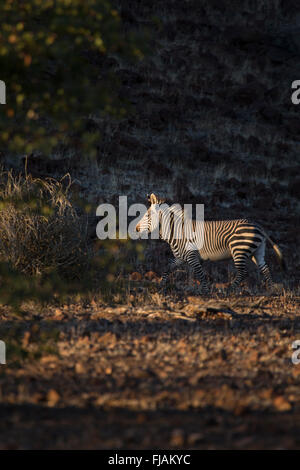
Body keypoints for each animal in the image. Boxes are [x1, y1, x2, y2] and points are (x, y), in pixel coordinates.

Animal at [136, 193, 286, 292]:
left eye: (147, 215)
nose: (136, 229)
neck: (177, 231)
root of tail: (258, 225)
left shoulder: (192, 256)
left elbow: (200, 274)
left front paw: (205, 291)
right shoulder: (180, 257)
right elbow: (168, 268)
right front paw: (161, 285)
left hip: (238, 249)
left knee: (243, 272)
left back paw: (230, 290)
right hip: (257, 251)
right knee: (265, 268)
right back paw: (271, 291)